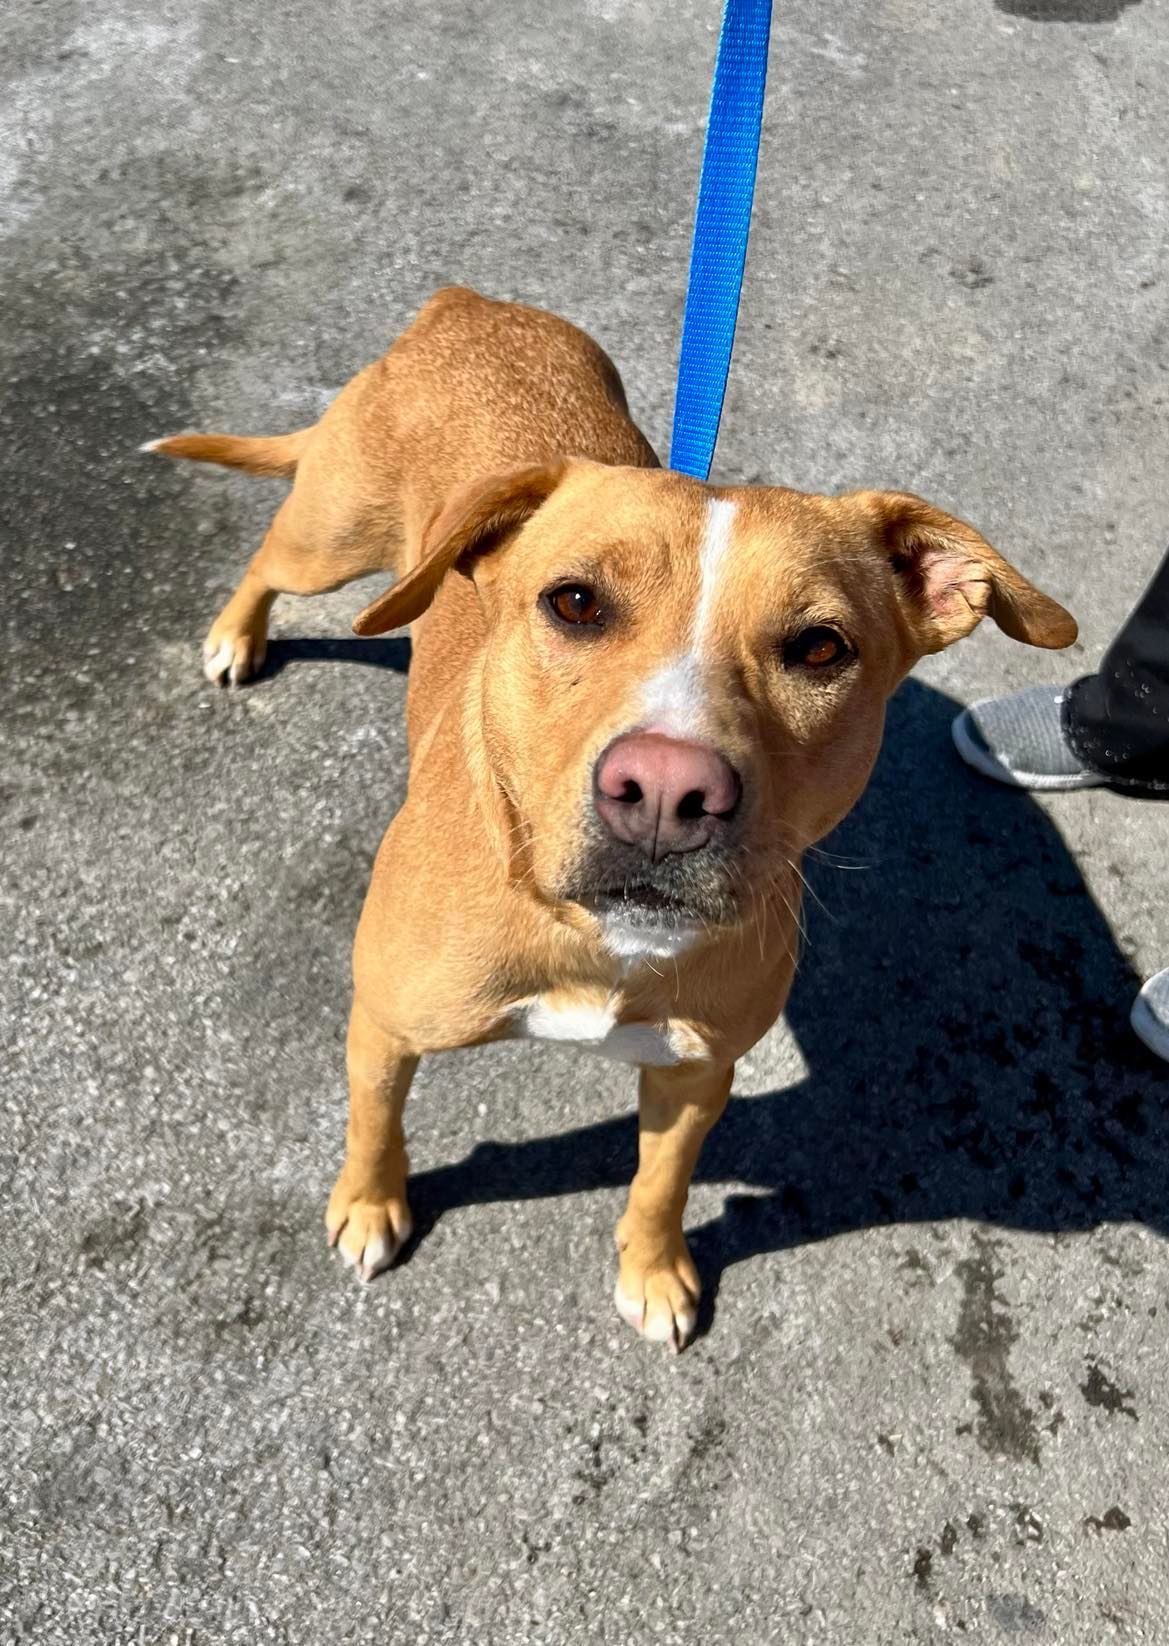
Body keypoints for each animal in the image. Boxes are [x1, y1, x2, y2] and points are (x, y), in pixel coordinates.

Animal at [149, 286, 1080, 1349]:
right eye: (574, 602)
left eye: (819, 648)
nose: (669, 792)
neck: (596, 939)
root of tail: (470, 303)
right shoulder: (384, 1025)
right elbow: (373, 1122)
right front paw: (370, 1203)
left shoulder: (695, 1077)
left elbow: (659, 1182)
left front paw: (655, 1269)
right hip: (328, 538)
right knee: (268, 560)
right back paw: (236, 634)